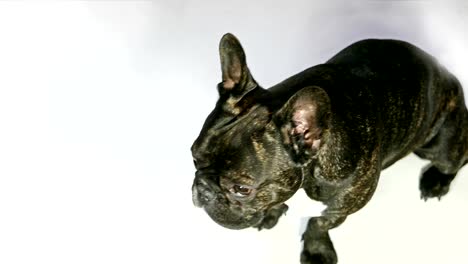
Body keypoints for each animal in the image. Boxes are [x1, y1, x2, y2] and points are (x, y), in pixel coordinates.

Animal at [191, 34, 468, 262]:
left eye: (241, 189)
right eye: (194, 158)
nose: (203, 189)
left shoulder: (342, 207)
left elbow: (319, 223)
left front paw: (316, 251)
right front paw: (272, 211)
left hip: (440, 143)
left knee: (454, 159)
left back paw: (436, 180)